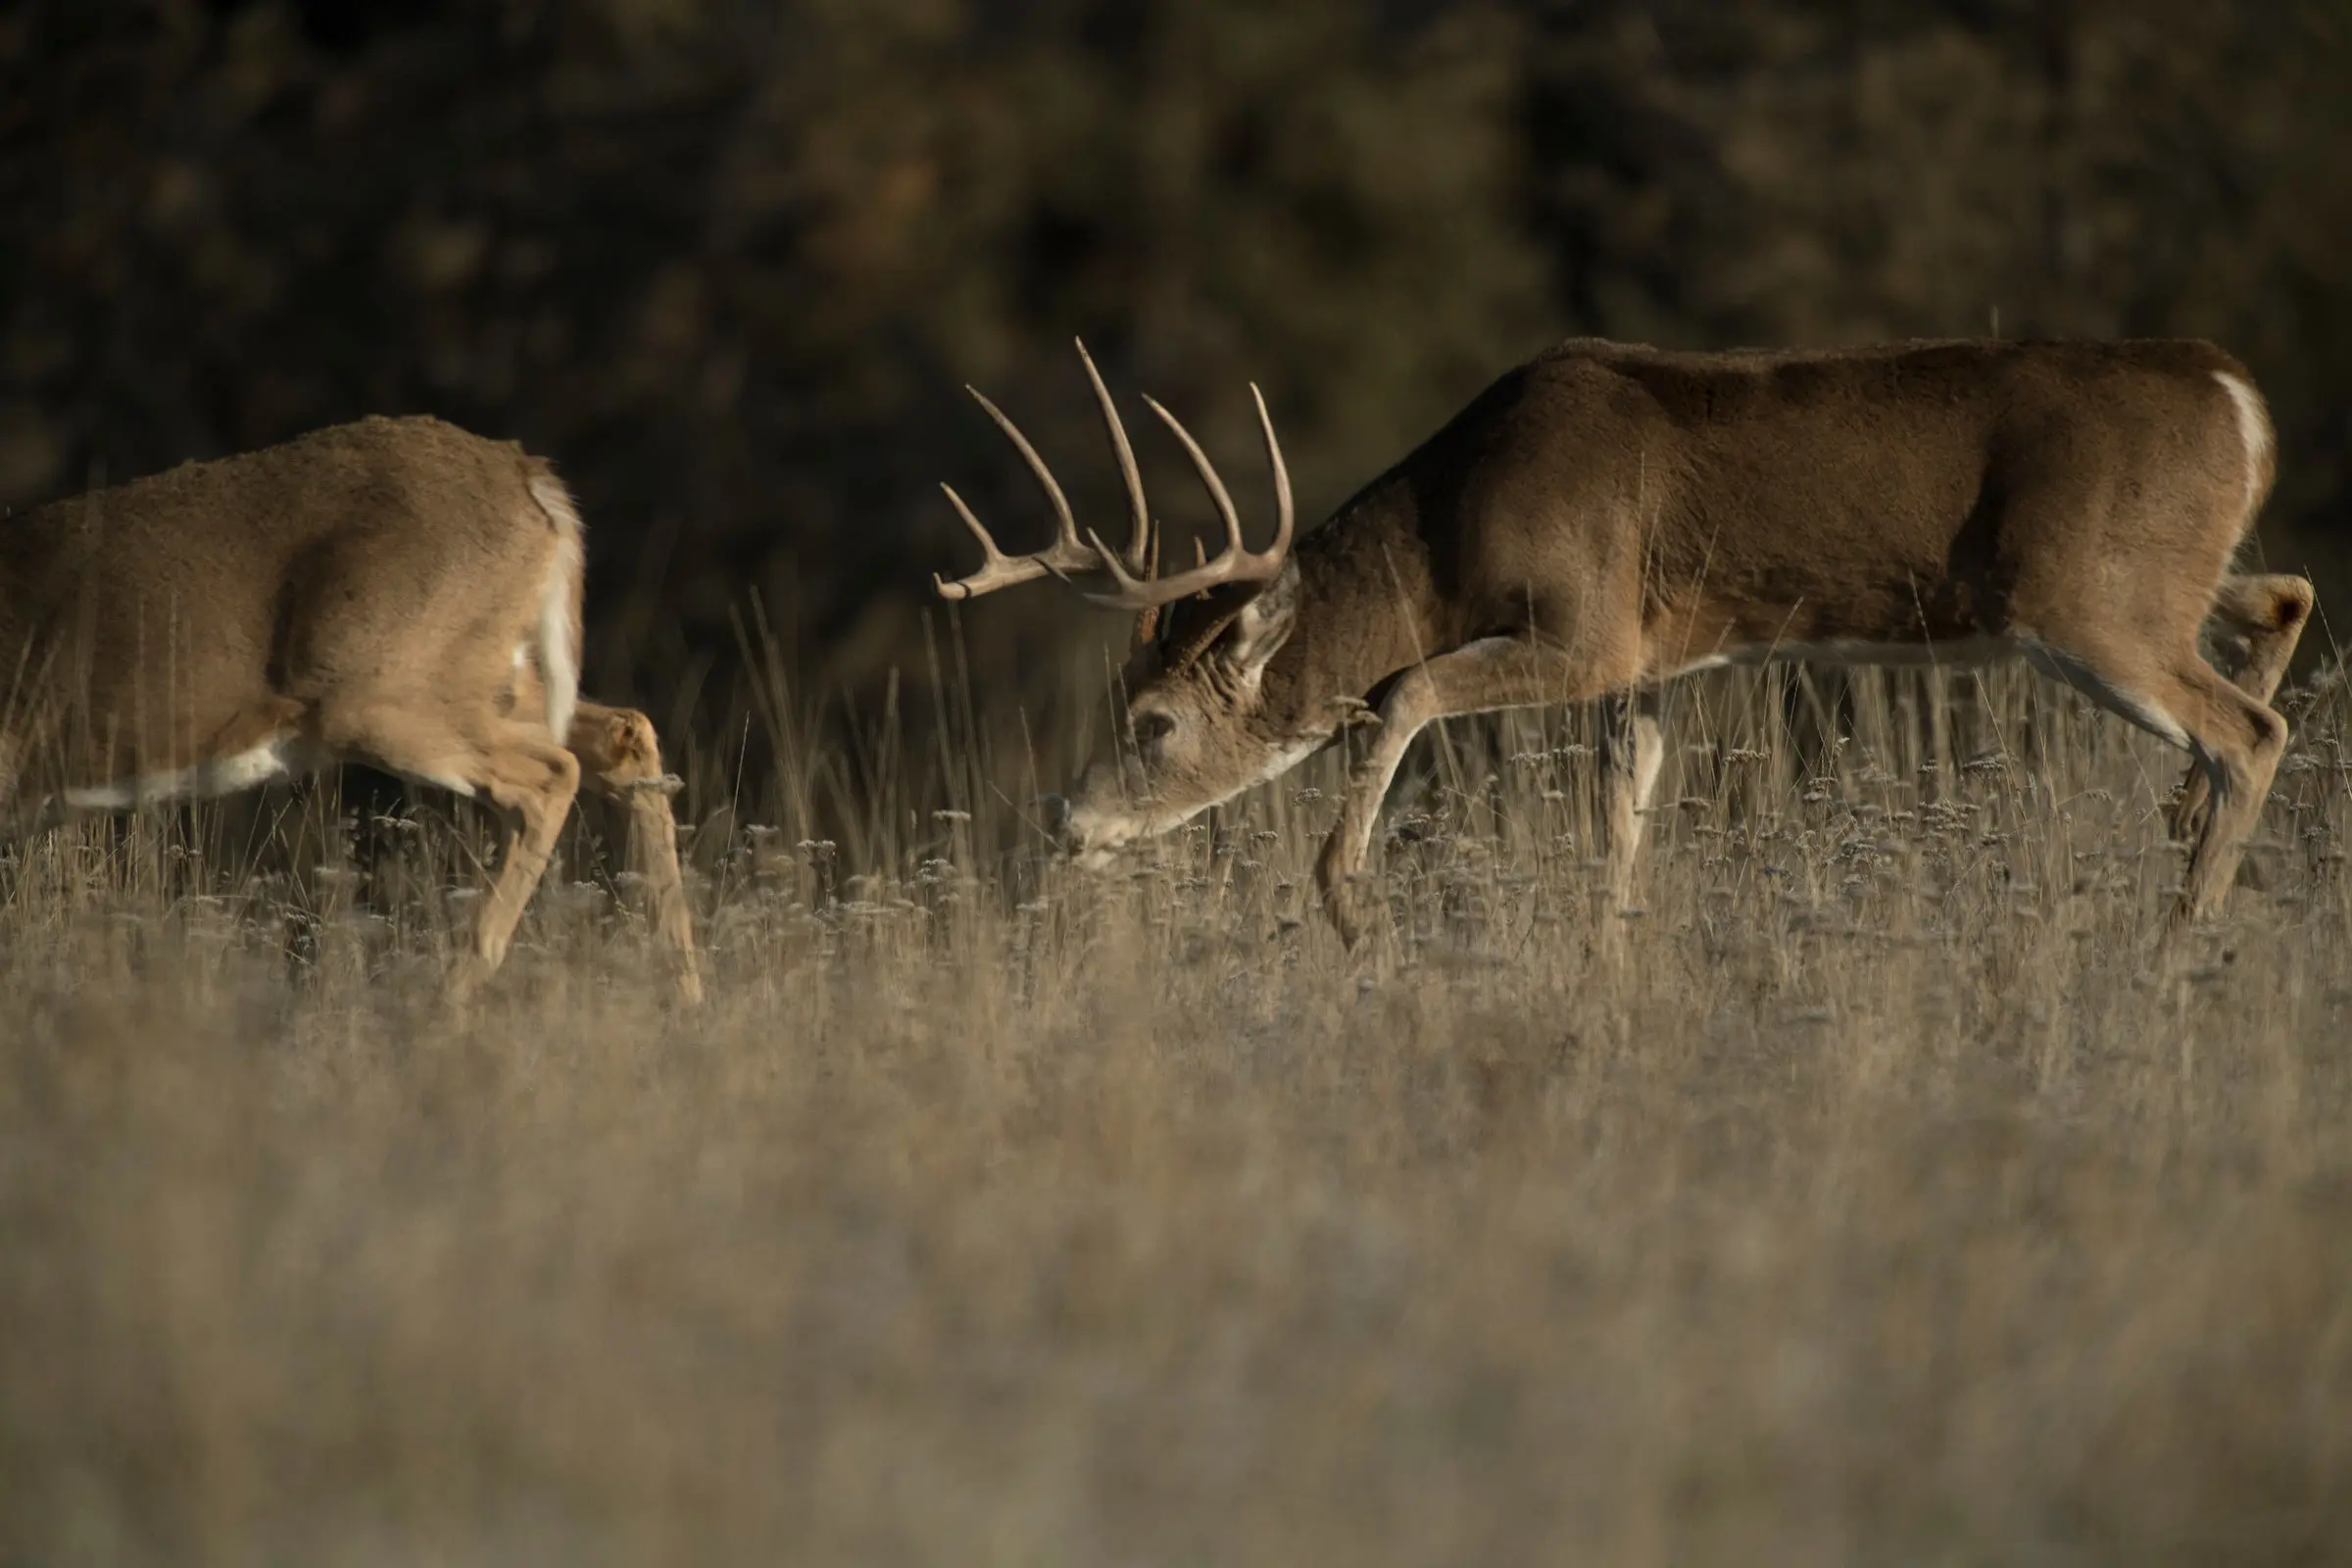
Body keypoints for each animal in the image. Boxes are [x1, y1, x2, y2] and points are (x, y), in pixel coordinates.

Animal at [7, 414, 696, 1005]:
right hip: (485, 675)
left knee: (551, 775)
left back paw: (441, 1013)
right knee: (623, 732)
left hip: (383, 692)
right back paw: (686, 999)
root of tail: (531, 478)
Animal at [931, 336, 2314, 945]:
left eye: (1154, 722)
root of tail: (2246, 403)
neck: (1456, 523)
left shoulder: (1586, 624)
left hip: (2086, 599)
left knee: (2252, 726)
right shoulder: (1650, 670)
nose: (1069, 820)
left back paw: (2181, 935)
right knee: (2285, 596)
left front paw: (1345, 897)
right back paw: (2182, 819)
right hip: (2163, 581)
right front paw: (1613, 958)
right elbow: (1620, 822)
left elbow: (1403, 688)